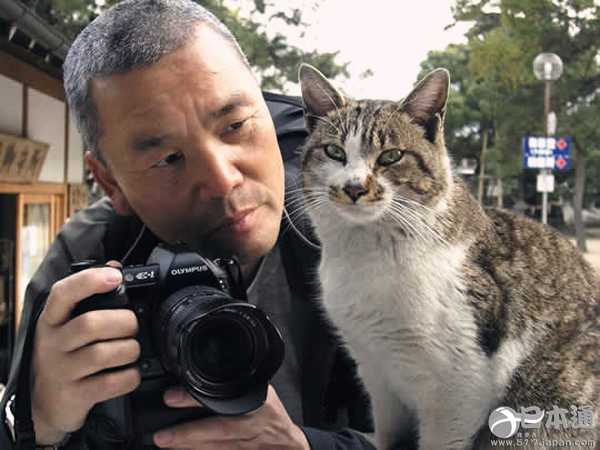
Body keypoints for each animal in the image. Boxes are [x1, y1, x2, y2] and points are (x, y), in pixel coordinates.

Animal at [296, 64, 600, 450]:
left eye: (391, 157)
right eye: (334, 151)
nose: (353, 188)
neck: (367, 252)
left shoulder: (458, 385)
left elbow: (441, 437)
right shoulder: (375, 369)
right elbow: (388, 429)